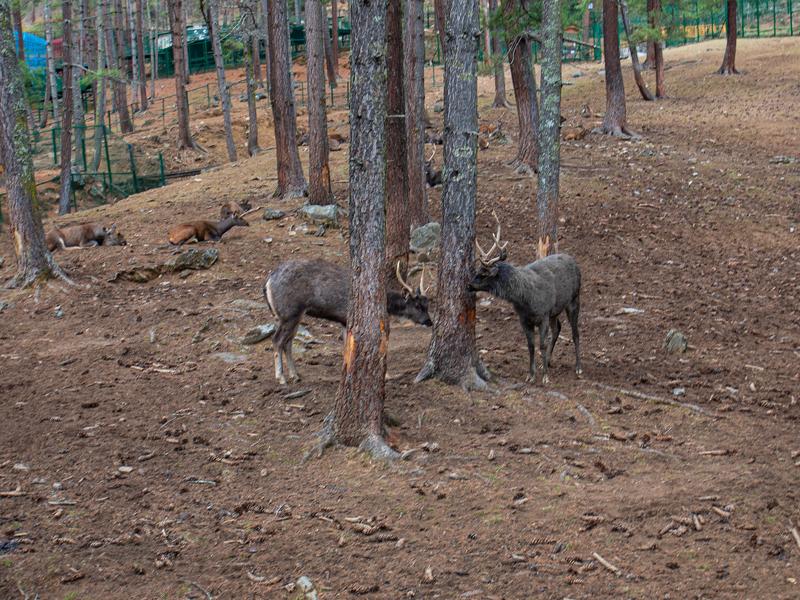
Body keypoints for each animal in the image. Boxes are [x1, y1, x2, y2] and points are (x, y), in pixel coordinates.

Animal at [263, 259, 433, 384]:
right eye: (417, 305)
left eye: (427, 304)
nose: (429, 321)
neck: (385, 304)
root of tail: (267, 282)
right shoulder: (347, 318)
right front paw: (386, 375)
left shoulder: (344, 322)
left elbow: (347, 348)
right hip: (289, 312)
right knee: (277, 340)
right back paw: (281, 377)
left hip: (293, 316)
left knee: (288, 343)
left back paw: (295, 375)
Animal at [468, 212, 581, 384]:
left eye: (483, 274)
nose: (468, 284)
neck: (525, 298)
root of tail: (575, 262)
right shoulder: (524, 318)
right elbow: (530, 345)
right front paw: (531, 375)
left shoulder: (543, 315)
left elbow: (542, 344)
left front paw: (545, 378)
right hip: (555, 311)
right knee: (558, 328)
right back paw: (548, 362)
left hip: (574, 299)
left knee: (575, 333)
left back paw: (578, 368)